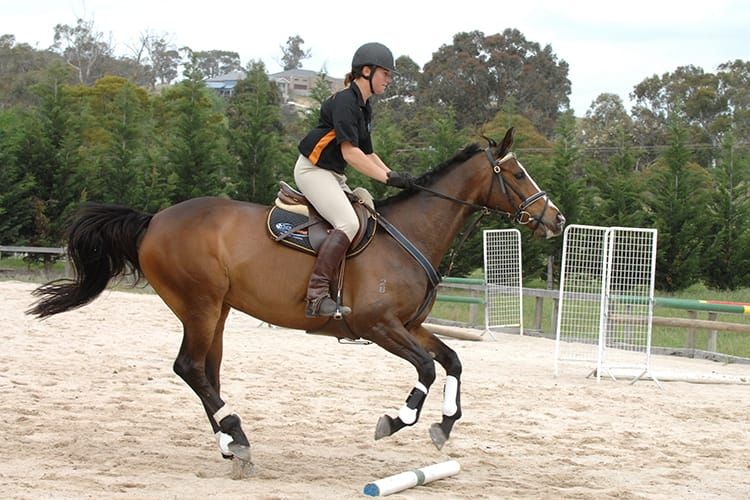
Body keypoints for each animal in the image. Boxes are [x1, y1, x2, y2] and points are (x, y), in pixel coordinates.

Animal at [28, 127, 565, 475]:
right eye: (517, 173)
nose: (556, 219)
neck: (411, 234)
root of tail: (154, 220)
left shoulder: (410, 326)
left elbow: (452, 360)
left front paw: (445, 426)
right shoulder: (377, 327)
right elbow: (428, 371)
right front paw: (396, 421)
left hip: (217, 310)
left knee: (206, 372)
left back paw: (231, 444)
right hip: (199, 303)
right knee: (190, 368)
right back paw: (237, 437)